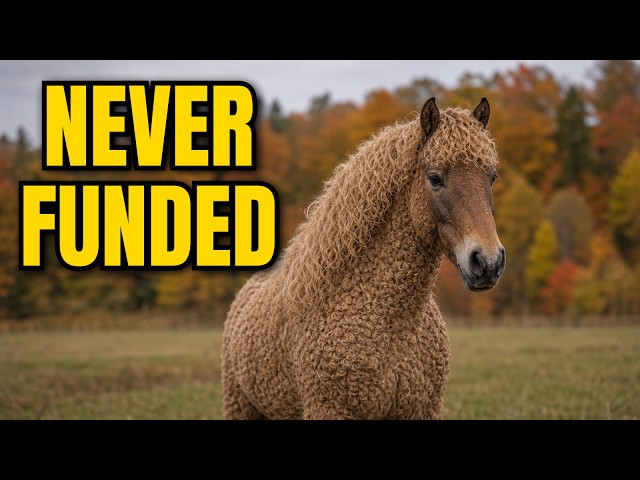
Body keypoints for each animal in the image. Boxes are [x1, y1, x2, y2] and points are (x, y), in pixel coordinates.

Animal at [221, 97, 505, 419]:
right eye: (434, 178)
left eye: (492, 177)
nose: (488, 262)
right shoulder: (329, 409)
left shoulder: (422, 409)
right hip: (239, 405)